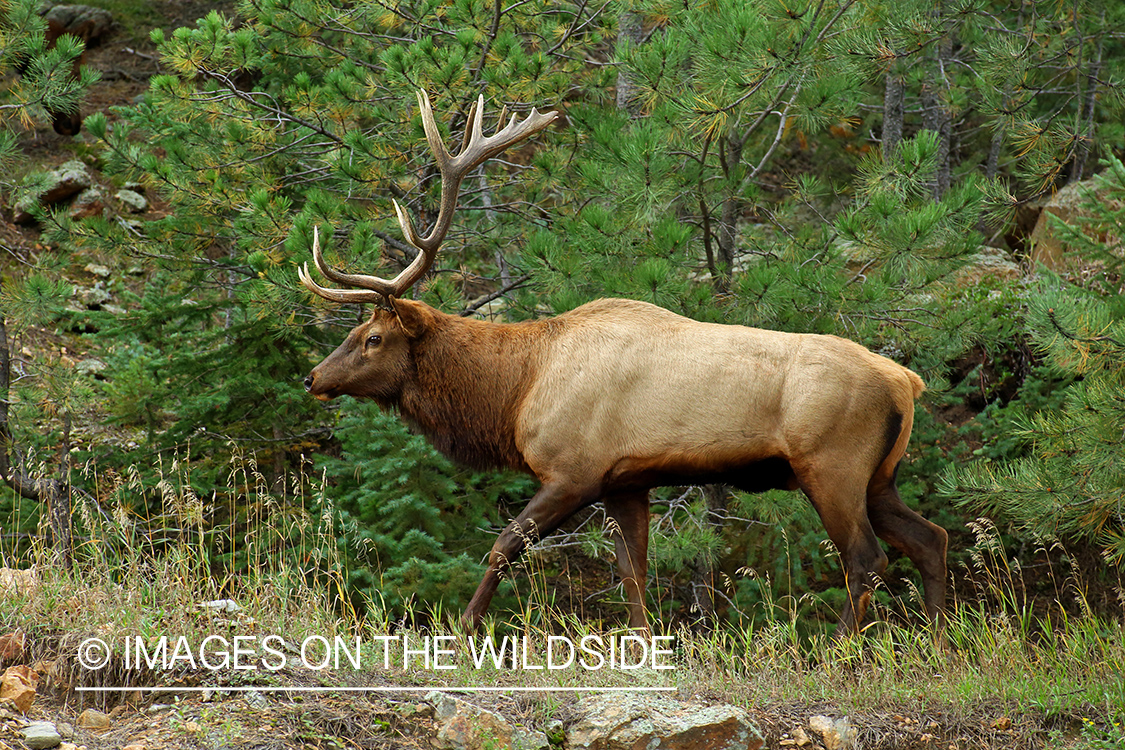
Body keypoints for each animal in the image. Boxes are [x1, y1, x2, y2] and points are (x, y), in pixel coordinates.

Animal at [301, 91, 949, 638]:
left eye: (374, 337)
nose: (313, 377)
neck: (515, 390)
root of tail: (907, 381)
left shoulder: (573, 469)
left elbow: (505, 545)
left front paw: (462, 630)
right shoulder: (627, 481)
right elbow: (632, 570)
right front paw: (644, 644)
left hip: (832, 464)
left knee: (867, 557)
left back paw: (837, 648)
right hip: (880, 474)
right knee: (931, 538)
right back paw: (941, 644)